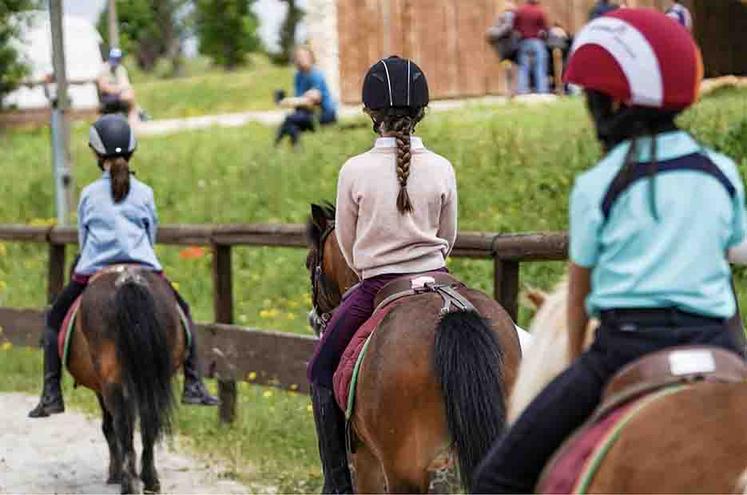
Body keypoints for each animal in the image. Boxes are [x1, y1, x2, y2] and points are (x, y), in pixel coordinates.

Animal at [65, 266, 186, 494]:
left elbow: (108, 427)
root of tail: (127, 279)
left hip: (112, 380)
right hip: (150, 379)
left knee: (122, 424)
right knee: (148, 420)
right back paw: (150, 480)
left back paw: (128, 482)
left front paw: (115, 473)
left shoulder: (102, 389)